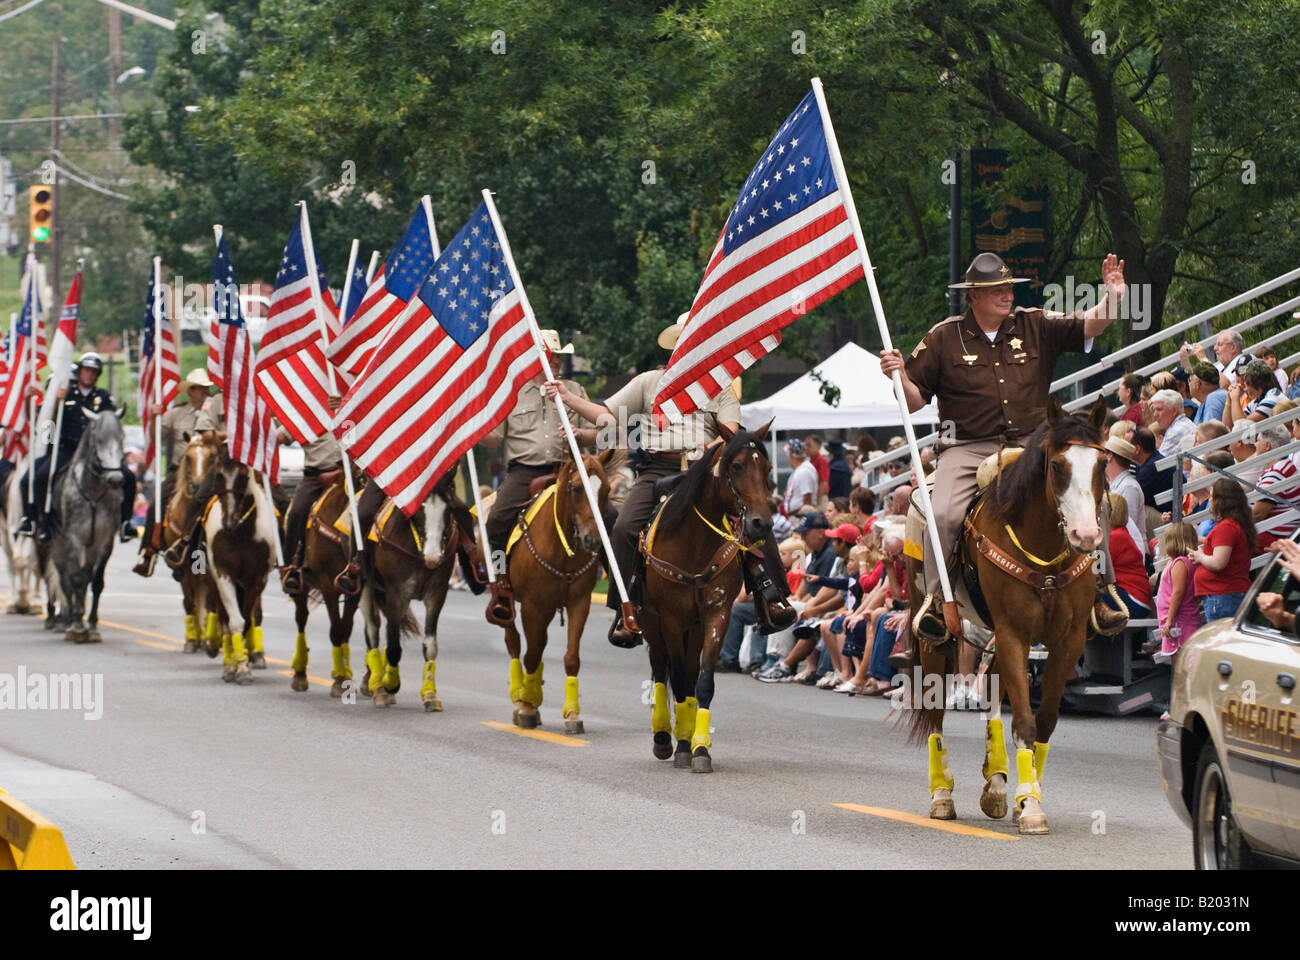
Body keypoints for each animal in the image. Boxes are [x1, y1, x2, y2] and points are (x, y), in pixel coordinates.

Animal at [38, 408, 126, 640]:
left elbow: (96, 582)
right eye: (98, 441)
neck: (93, 494)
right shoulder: (73, 538)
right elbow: (75, 579)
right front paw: (77, 625)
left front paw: (92, 625)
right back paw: (64, 619)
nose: (115, 479)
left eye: (121, 439)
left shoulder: (105, 541)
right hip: (54, 545)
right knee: (63, 578)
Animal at [288, 478, 361, 697]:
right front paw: (339, 680)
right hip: (301, 586)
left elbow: (346, 629)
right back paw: (300, 674)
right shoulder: (328, 585)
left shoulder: (356, 590)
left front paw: (345, 675)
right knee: (301, 618)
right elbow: (336, 630)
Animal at [493, 447, 621, 733]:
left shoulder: (579, 603)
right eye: (576, 488)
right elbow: (530, 654)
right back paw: (520, 696)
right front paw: (526, 706)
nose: (592, 540)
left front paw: (572, 714)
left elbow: (571, 657)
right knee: (514, 642)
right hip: (509, 603)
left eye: (606, 489)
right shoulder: (532, 605)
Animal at [637, 418, 769, 770]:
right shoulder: (669, 619)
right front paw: (682, 746)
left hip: (693, 628)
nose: (761, 523)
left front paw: (700, 748)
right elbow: (680, 681)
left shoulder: (717, 614)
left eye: (766, 468)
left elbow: (703, 680)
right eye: (737, 466)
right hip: (651, 623)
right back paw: (662, 737)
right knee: (660, 670)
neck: (694, 544)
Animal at [904, 395, 1107, 832]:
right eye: (1057, 465)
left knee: (994, 695)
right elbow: (1025, 722)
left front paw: (1025, 797)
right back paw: (942, 796)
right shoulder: (1014, 632)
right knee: (935, 714)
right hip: (936, 640)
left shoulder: (1066, 640)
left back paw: (996, 785)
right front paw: (1031, 808)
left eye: (1102, 464)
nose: (1086, 536)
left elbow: (1043, 721)